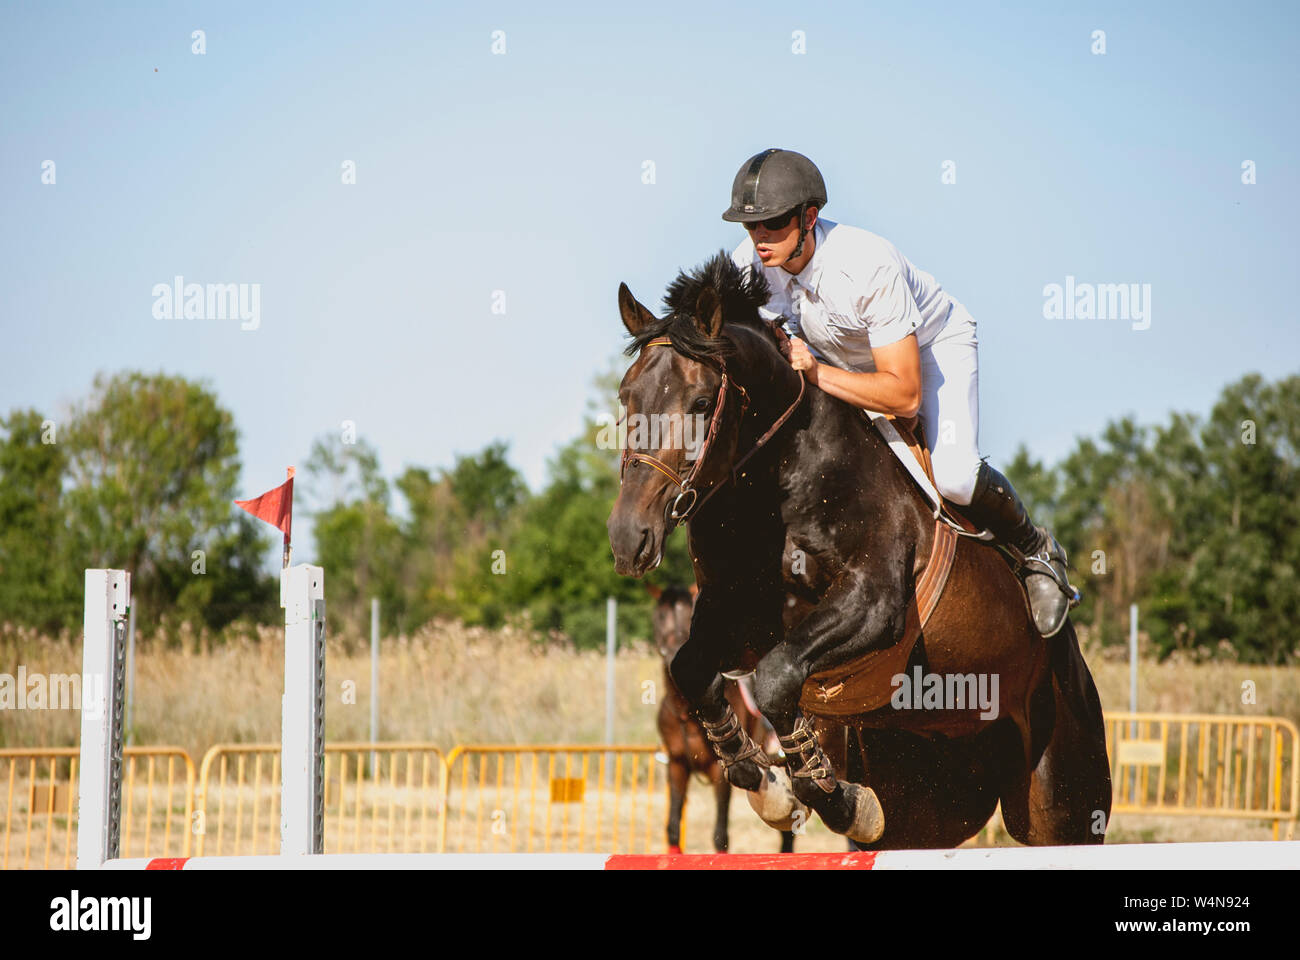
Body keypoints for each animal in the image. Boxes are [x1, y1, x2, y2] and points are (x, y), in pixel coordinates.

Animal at [649, 583, 794, 854]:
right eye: (660, 615)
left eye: (687, 612)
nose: (673, 652)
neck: (686, 713)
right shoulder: (677, 766)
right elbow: (672, 829)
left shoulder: (720, 774)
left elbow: (720, 835)